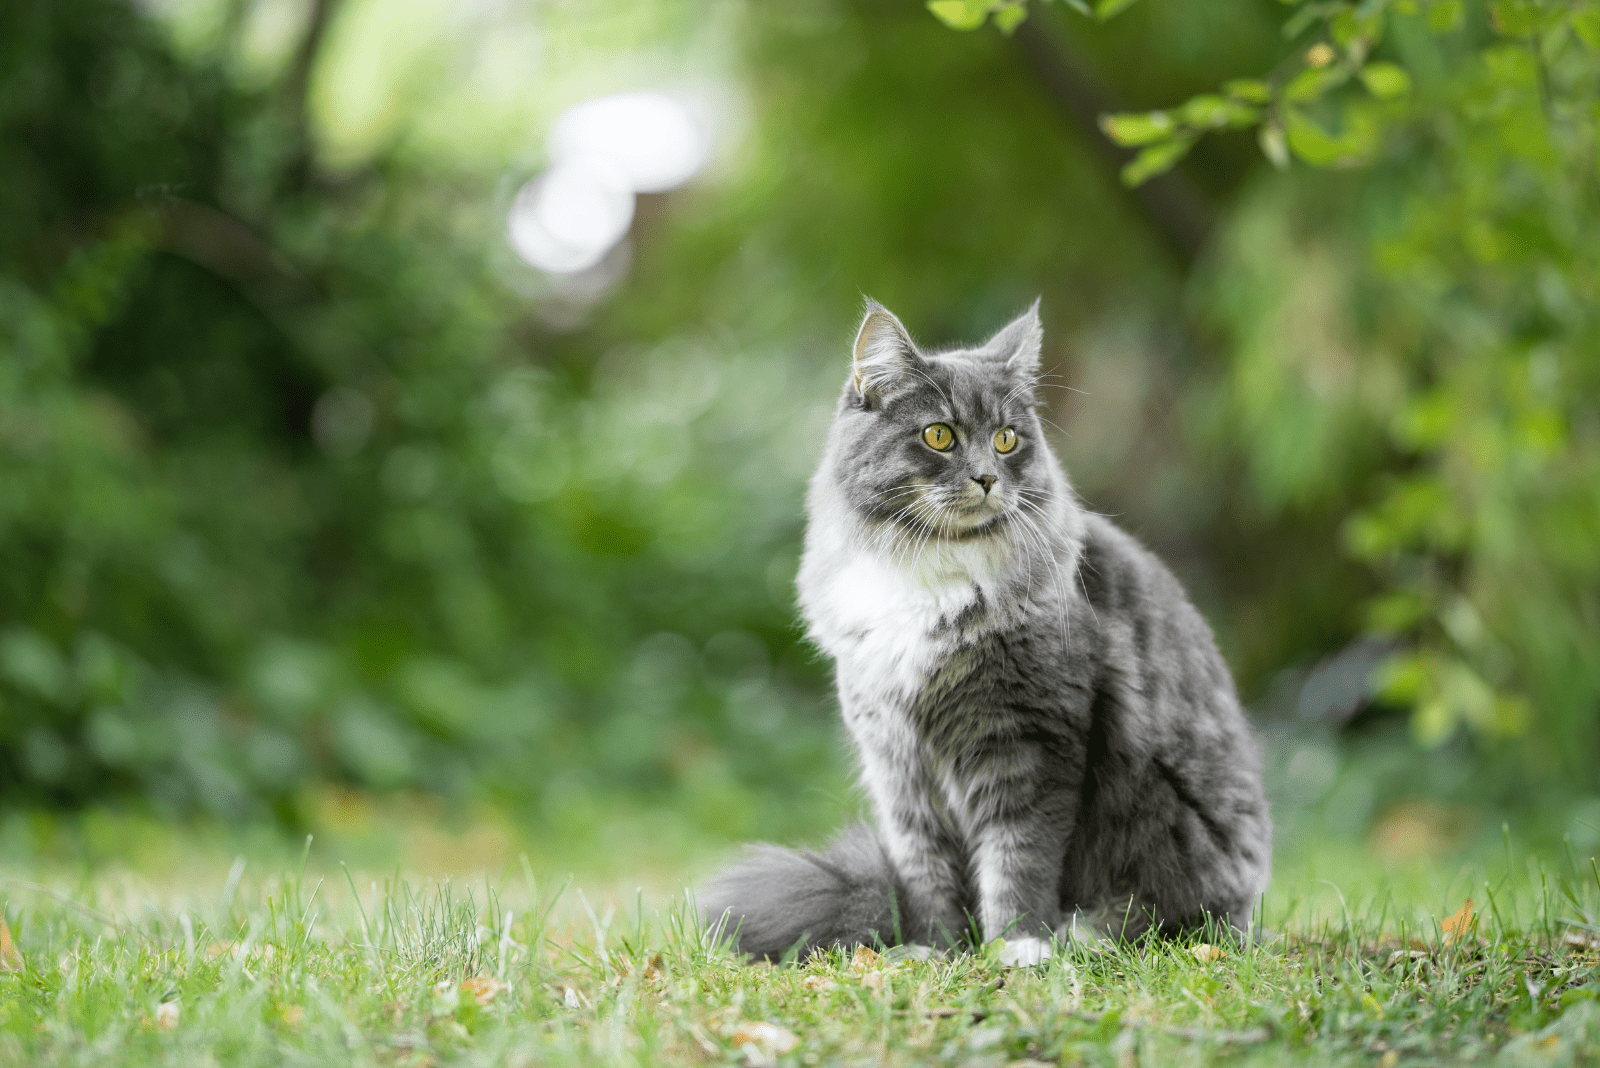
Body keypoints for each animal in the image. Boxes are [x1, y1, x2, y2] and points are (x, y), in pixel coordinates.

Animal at [707, 300, 1267, 965]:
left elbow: (1017, 857)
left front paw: (1016, 945)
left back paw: (1086, 933)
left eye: (1006, 439)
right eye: (939, 435)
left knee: (1164, 918)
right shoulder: (899, 765)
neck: (927, 573)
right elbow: (927, 872)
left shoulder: (1027, 742)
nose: (986, 478)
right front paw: (937, 951)